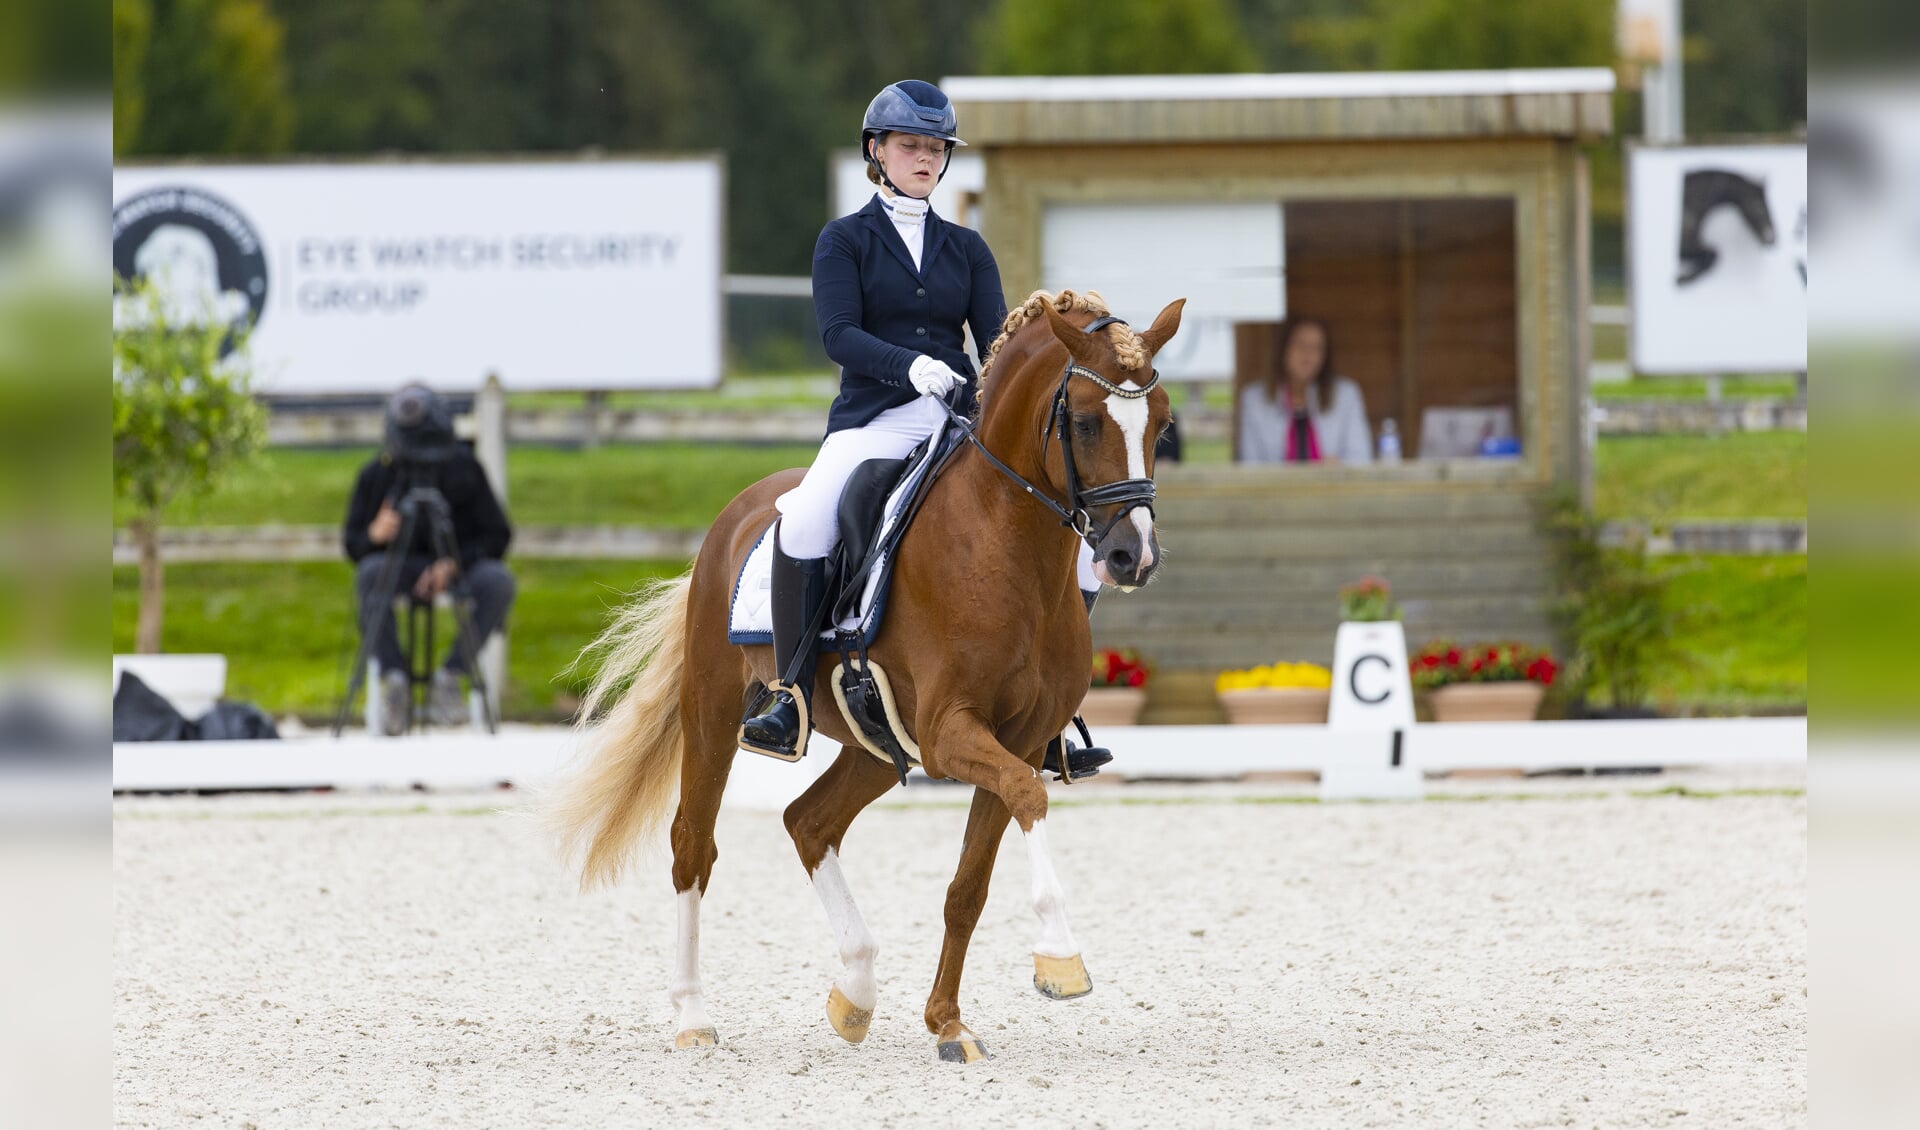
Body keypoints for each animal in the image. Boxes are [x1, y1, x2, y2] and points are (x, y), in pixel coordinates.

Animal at [549, 285, 1182, 1059]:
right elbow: (1030, 797)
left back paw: (855, 990)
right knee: (693, 846)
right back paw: (694, 1016)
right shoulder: (950, 733)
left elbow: (968, 885)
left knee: (809, 822)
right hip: (714, 712)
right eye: (1087, 422)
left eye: (1162, 422)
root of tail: (738, 511)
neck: (1007, 545)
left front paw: (948, 1024)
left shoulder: (1018, 738)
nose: (1133, 557)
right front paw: (1060, 960)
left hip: (877, 744)